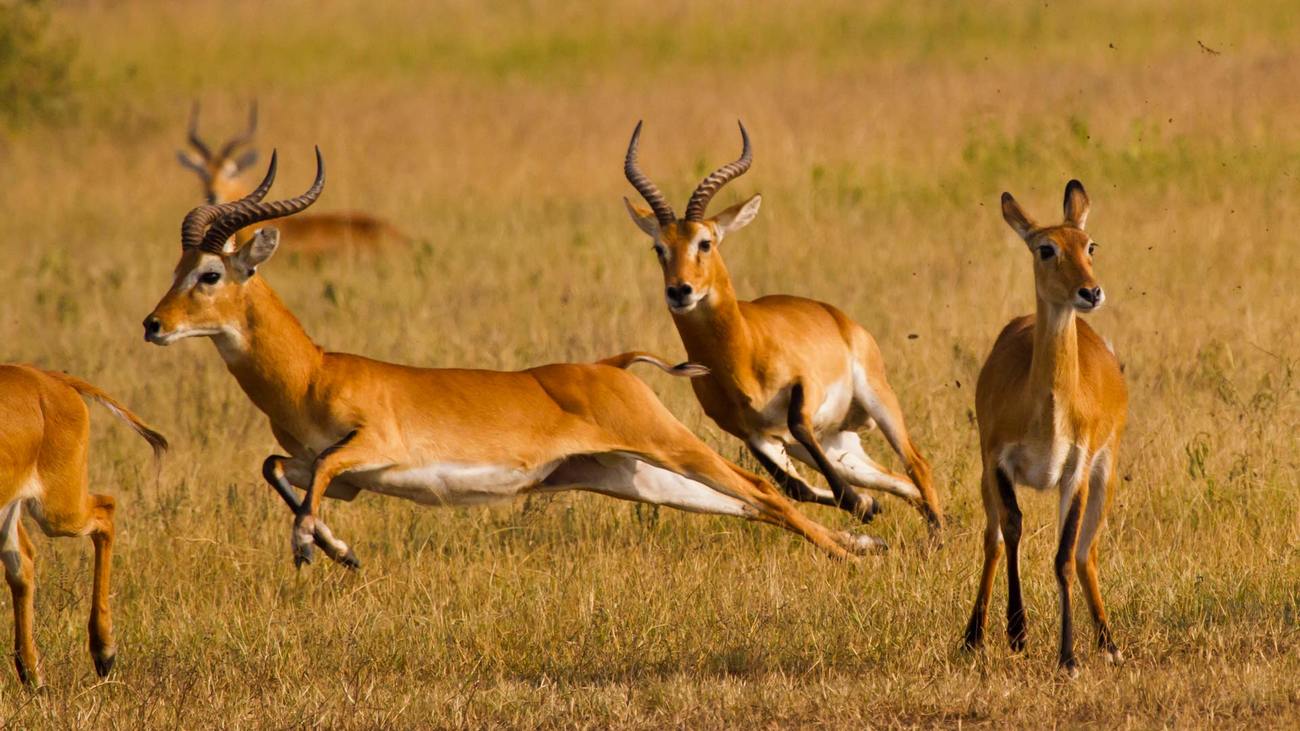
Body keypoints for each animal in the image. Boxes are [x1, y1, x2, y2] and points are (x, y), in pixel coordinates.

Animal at [0, 364, 167, 681]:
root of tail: (46, 377)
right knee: (22, 563)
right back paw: (33, 675)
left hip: (58, 512)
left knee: (106, 510)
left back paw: (104, 653)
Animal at [147, 149, 889, 569]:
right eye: (177, 268)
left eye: (210, 273)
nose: (154, 325)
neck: (314, 372)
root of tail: (611, 364)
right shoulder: (339, 473)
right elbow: (278, 469)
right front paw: (340, 550)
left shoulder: (370, 448)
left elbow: (312, 476)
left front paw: (314, 548)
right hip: (632, 475)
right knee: (758, 501)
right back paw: (864, 544)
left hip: (669, 446)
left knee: (765, 490)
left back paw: (861, 550)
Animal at [621, 120, 941, 541]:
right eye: (659, 248)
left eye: (705, 242)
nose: (679, 291)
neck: (742, 351)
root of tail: (839, 317)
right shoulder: (755, 434)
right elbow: (794, 488)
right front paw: (867, 505)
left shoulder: (804, 393)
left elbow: (798, 428)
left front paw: (860, 505)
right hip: (838, 442)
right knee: (897, 480)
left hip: (876, 399)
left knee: (916, 463)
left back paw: (939, 535)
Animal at [961, 178, 1133, 671]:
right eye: (1046, 248)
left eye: (1089, 244)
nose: (1090, 292)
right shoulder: (997, 463)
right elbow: (1013, 531)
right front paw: (1016, 632)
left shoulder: (1075, 471)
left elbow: (1062, 558)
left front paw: (1068, 657)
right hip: (985, 478)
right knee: (993, 539)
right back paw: (973, 637)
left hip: (1103, 476)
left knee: (1084, 553)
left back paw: (1108, 644)